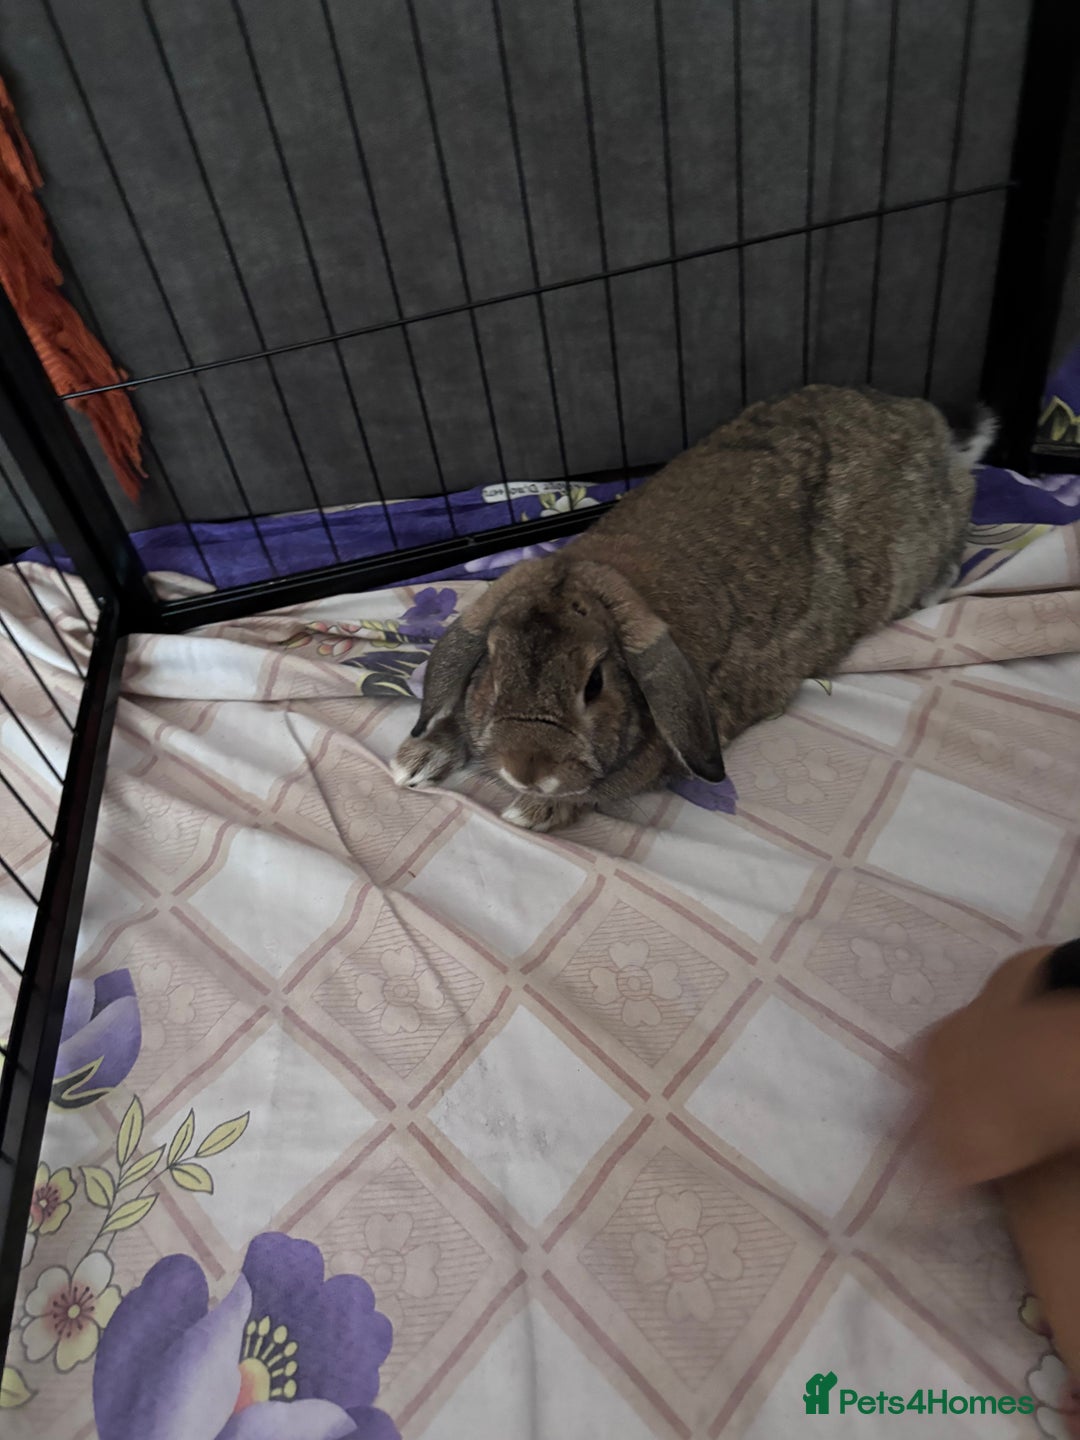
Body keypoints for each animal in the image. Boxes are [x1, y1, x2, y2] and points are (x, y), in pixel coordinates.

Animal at [392, 384, 994, 831]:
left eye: (595, 684)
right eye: (493, 669)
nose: (527, 769)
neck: (605, 572)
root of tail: (925, 419)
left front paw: (535, 809)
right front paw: (414, 761)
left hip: (927, 535)